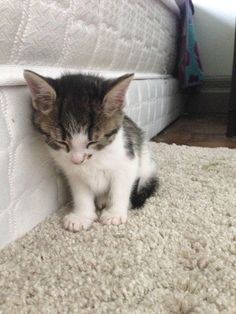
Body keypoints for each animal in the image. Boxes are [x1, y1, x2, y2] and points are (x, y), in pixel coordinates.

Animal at [24, 72, 158, 233]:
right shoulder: (73, 173)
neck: (94, 160)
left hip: (145, 165)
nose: (77, 160)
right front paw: (82, 216)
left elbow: (120, 188)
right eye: (61, 142)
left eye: (93, 142)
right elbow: (81, 193)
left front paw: (114, 214)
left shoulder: (128, 160)